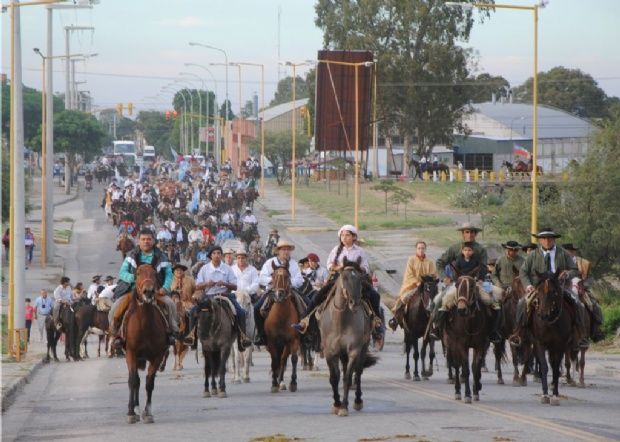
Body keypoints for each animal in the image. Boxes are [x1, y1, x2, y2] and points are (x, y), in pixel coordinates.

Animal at [123, 264, 170, 424]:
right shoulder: (131, 352)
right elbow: (133, 381)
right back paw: (134, 408)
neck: (145, 326)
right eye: (137, 273)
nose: (148, 291)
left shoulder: (158, 355)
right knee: (134, 380)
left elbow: (149, 382)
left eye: (155, 274)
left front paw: (147, 412)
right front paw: (131, 412)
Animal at [264, 261, 301, 393]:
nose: (279, 294)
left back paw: (282, 382)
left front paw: (293, 383)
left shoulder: (293, 340)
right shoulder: (271, 341)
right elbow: (274, 360)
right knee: (277, 361)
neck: (281, 317)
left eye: (287, 277)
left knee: (283, 360)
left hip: (286, 345)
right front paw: (274, 384)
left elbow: (293, 359)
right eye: (273, 276)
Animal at [319, 258, 378, 416]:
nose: (354, 302)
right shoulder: (329, 352)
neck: (341, 321)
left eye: (360, 278)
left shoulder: (354, 350)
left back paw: (357, 401)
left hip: (363, 347)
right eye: (344, 277)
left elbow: (347, 377)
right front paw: (336, 403)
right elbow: (334, 378)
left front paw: (344, 406)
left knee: (358, 373)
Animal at [443, 269, 490, 403]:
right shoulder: (461, 345)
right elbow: (465, 368)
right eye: (456, 285)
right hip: (451, 343)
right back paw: (458, 391)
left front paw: (476, 391)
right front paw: (467, 394)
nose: (461, 310)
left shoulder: (480, 345)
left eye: (473, 286)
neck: (469, 322)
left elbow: (475, 368)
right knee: (456, 364)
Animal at [528, 271, 574, 405]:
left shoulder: (560, 345)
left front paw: (554, 395)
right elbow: (544, 365)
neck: (550, 323)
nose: (543, 315)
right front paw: (545, 394)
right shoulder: (540, 343)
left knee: (555, 365)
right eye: (538, 290)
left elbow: (555, 367)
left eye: (553, 291)